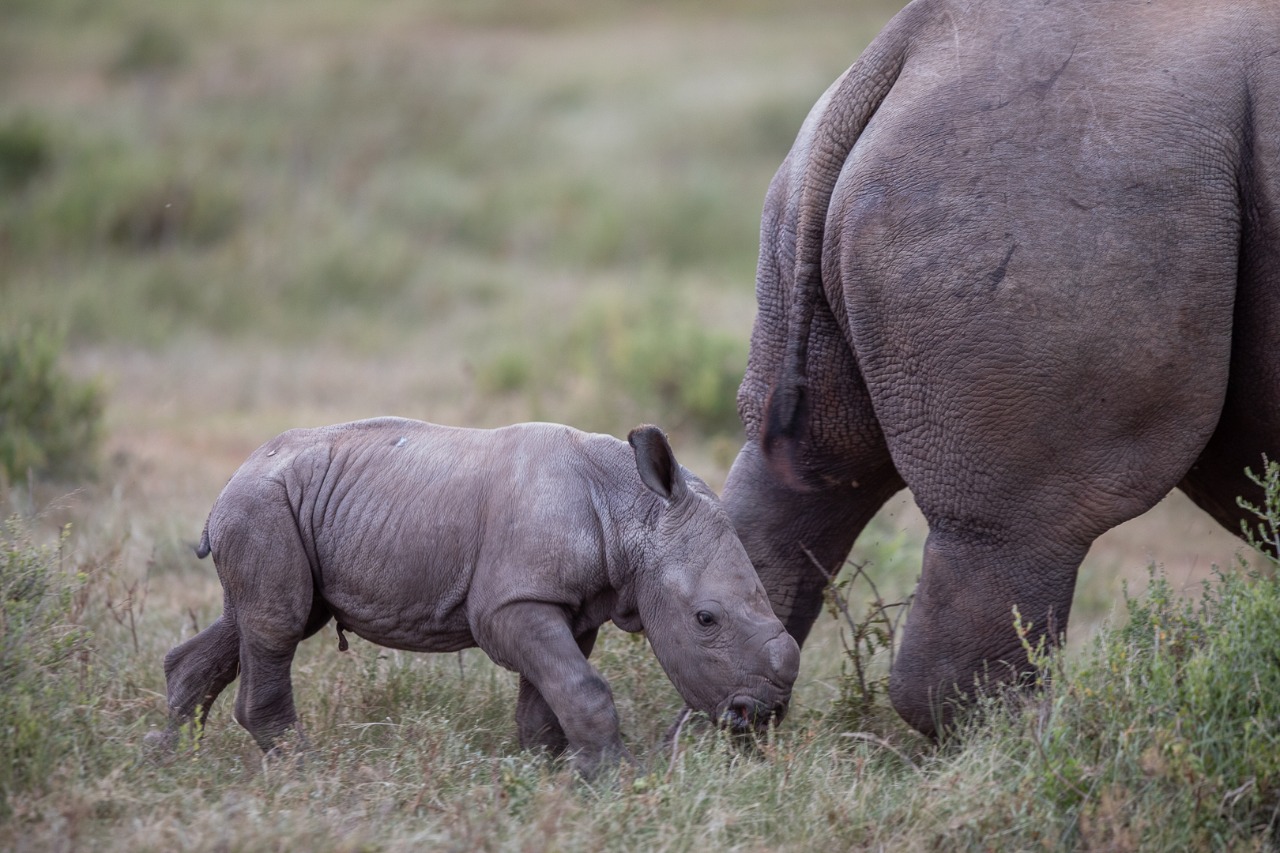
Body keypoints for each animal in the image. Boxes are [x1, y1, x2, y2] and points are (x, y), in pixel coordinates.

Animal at [152, 414, 798, 773]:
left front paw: (549, 770)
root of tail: (232, 478)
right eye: (706, 619)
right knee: (278, 624)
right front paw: (614, 779)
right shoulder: (510, 603)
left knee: (257, 621)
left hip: (275, 504)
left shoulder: (567, 606)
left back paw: (167, 762)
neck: (632, 507)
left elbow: (550, 692)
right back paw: (304, 772)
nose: (759, 716)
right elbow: (582, 685)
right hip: (262, 503)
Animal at [727, 0, 1274, 732]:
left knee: (814, 472)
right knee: (1025, 527)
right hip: (1057, 184)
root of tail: (899, 54)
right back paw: (1062, 737)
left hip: (841, 193)